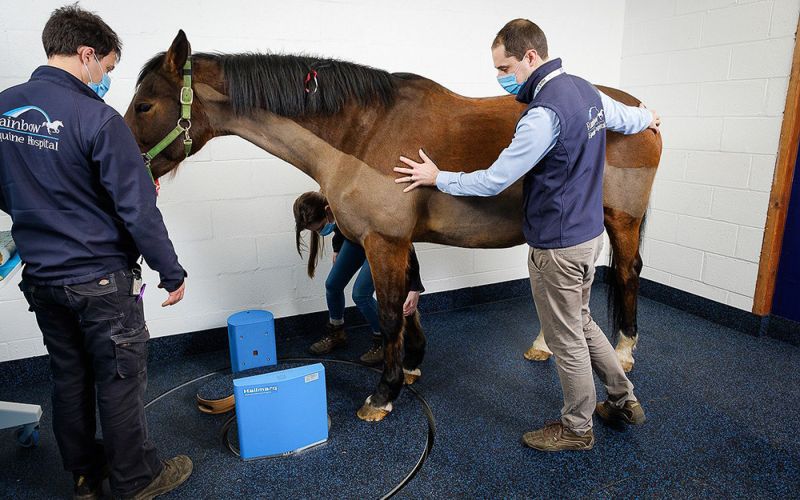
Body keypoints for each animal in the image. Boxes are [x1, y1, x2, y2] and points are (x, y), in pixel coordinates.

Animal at [124, 31, 661, 421]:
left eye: (146, 105)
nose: (126, 167)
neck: (363, 131)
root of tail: (640, 114)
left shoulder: (384, 242)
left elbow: (387, 312)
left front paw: (384, 393)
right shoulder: (399, 242)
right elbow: (408, 303)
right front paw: (412, 364)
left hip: (622, 221)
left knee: (627, 273)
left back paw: (624, 354)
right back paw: (544, 346)